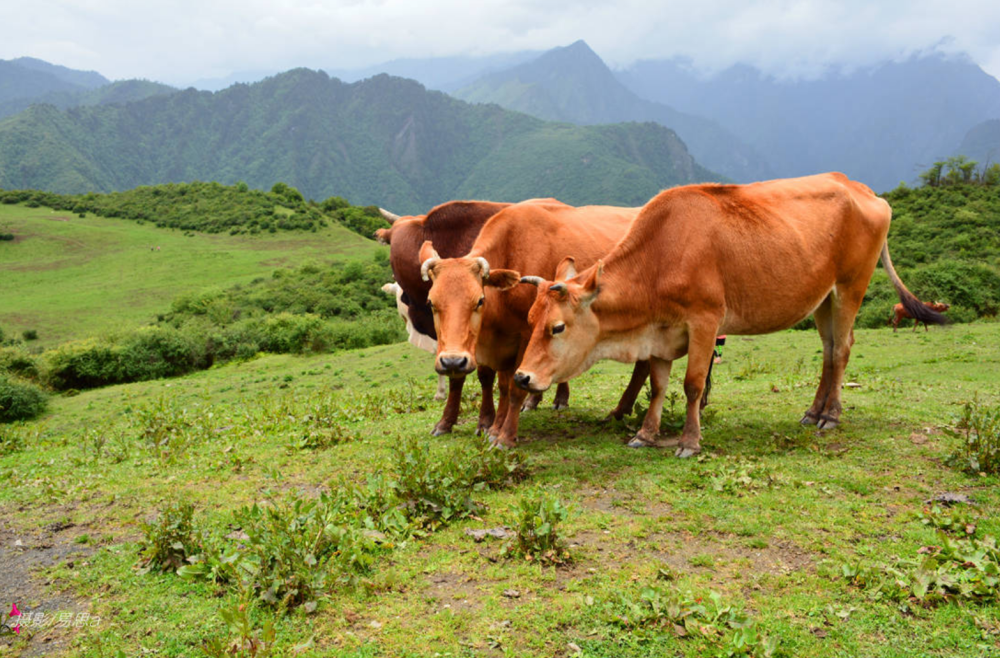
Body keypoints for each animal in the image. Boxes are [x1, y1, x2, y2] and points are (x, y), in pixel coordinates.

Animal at [418, 199, 652, 446]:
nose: (452, 361)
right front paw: (483, 425)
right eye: (431, 302)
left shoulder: (525, 337)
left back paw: (620, 411)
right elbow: (489, 381)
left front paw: (503, 434)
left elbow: (514, 386)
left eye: (479, 300)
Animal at [516, 172, 944, 454]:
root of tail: (863, 189)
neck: (660, 257)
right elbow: (658, 386)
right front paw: (646, 434)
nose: (522, 377)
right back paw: (812, 411)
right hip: (822, 299)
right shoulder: (661, 331)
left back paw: (831, 416)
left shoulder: (705, 321)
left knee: (842, 350)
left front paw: (690, 441)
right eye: (531, 321)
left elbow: (692, 384)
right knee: (828, 351)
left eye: (557, 327)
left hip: (849, 289)